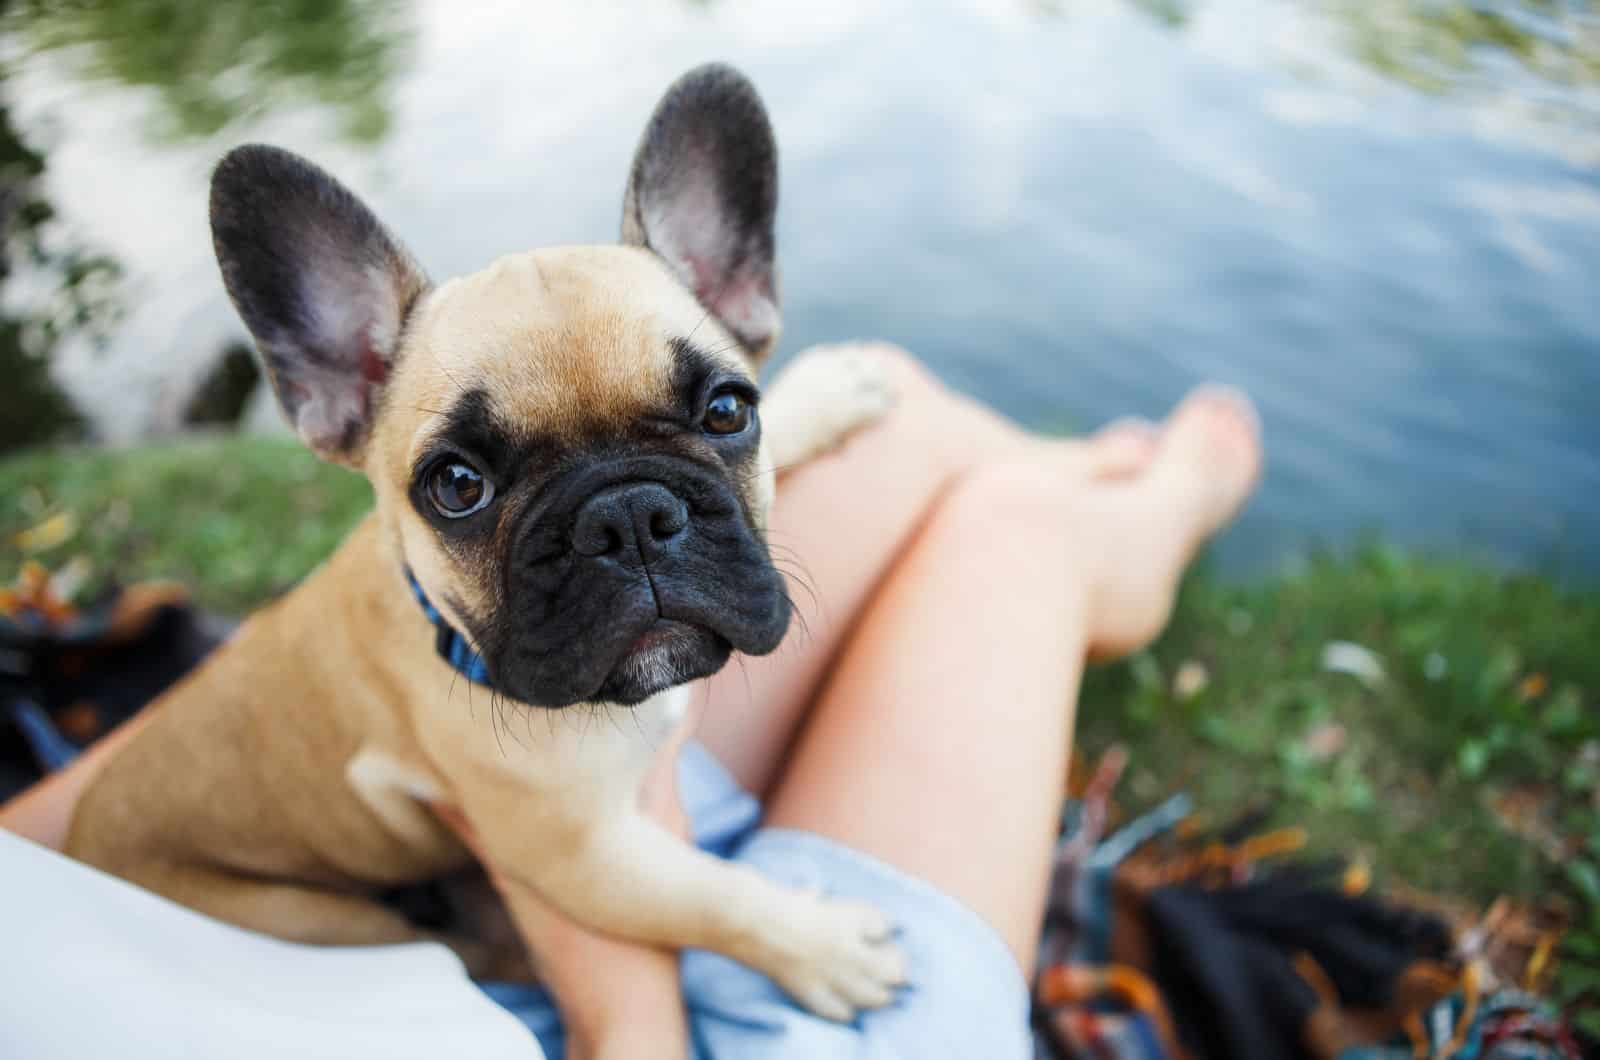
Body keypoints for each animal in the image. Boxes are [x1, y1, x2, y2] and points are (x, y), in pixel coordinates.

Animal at [62, 64, 908, 1024]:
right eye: (458, 487)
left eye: (729, 410)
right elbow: (708, 896)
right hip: (322, 924)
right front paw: (821, 945)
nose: (625, 516)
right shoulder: (579, 857)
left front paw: (825, 392)